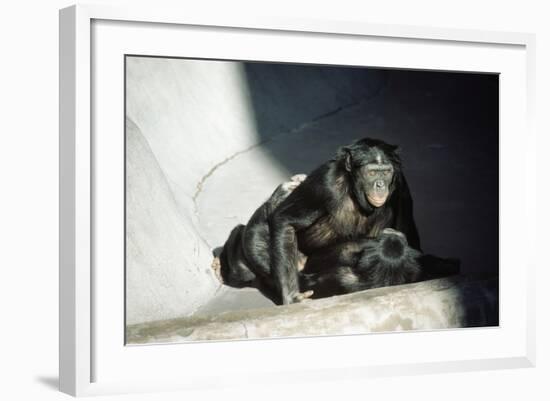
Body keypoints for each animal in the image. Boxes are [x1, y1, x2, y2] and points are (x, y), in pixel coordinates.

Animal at [216, 138, 462, 304]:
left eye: (385, 171)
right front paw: (291, 296)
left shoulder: (399, 182)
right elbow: (287, 220)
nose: (380, 184)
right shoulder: (325, 181)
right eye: (372, 172)